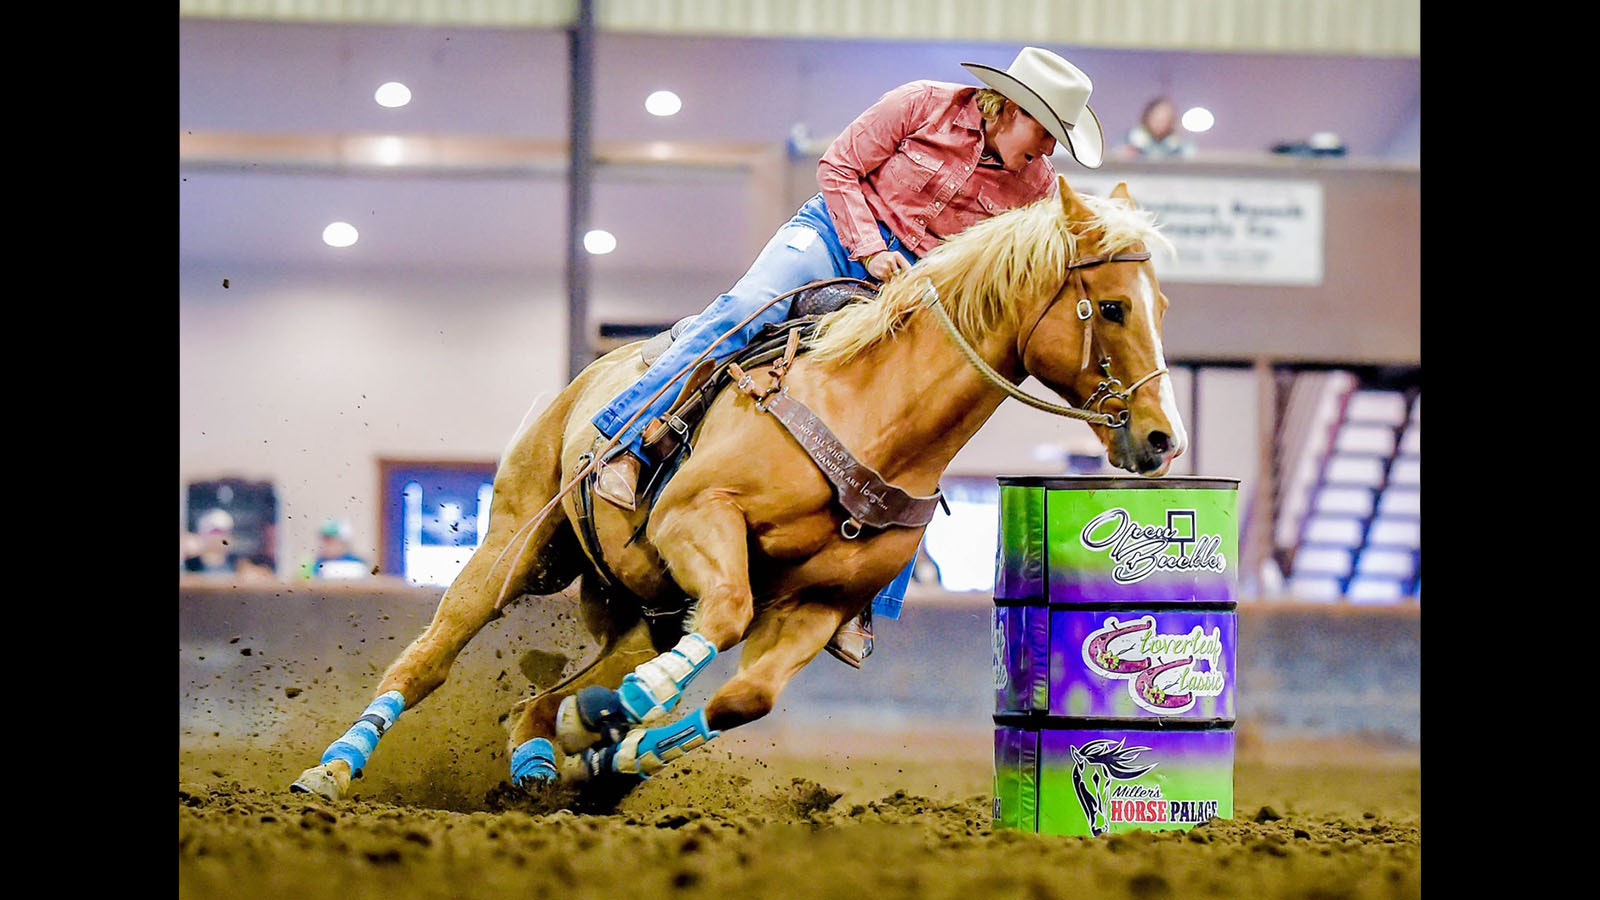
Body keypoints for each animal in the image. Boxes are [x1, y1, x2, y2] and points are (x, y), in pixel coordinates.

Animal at [291, 175, 1190, 797]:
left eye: (1161, 306)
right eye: (1112, 307)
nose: (1161, 438)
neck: (871, 415)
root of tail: (588, 380)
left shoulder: (817, 605)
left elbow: (744, 700)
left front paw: (615, 748)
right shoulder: (698, 522)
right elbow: (724, 614)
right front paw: (629, 716)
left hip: (639, 605)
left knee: (546, 697)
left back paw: (553, 754)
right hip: (516, 545)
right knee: (431, 656)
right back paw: (332, 770)